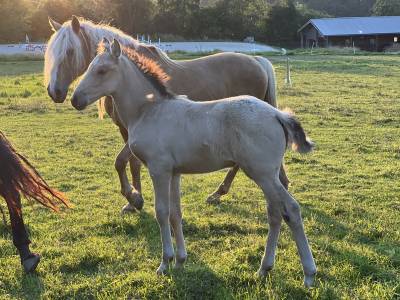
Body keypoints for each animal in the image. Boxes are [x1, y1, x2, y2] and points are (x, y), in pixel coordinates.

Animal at [44, 15, 288, 213]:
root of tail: (257, 61)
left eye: (69, 52)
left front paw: (134, 198)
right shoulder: (127, 130)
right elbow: (132, 164)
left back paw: (220, 192)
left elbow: (121, 162)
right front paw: (134, 200)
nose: (54, 91)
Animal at [70, 38, 318, 288]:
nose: (75, 99)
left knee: (291, 209)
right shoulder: (174, 173)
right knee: (275, 213)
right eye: (90, 67)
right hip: (266, 175)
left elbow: (161, 212)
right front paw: (180, 260)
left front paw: (165, 262)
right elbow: (175, 214)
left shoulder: (159, 170)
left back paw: (308, 274)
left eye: (102, 70)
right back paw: (264, 268)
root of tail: (278, 115)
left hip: (263, 174)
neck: (149, 110)